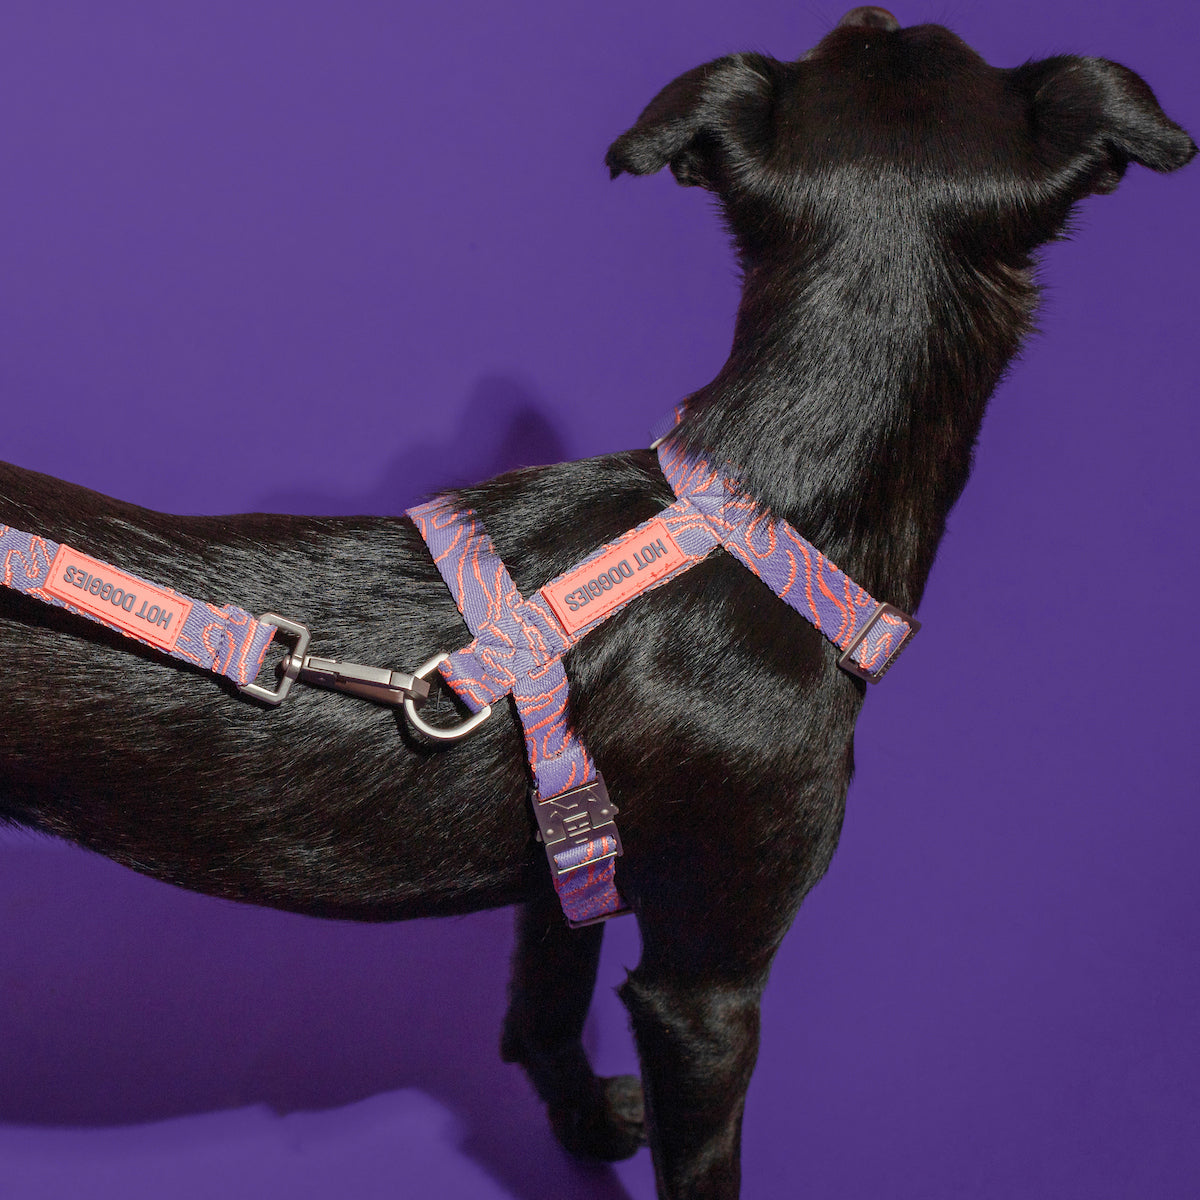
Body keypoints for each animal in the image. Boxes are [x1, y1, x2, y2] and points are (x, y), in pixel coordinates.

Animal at [0, 11, 1195, 1200]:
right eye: (928, 36)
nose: (872, 13)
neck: (755, 524)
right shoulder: (706, 988)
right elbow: (697, 1152)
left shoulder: (569, 860)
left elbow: (544, 1010)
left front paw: (575, 1123)